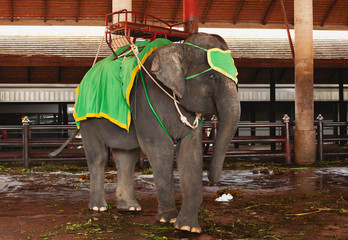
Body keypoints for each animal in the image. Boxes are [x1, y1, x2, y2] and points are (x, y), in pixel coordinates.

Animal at [75, 32, 239, 233]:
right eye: (212, 75)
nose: (213, 182)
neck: (178, 48)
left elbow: (190, 152)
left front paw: (187, 227)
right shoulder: (146, 102)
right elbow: (160, 147)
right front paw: (168, 219)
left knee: (126, 157)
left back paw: (130, 208)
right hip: (88, 119)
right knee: (98, 156)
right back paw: (99, 208)